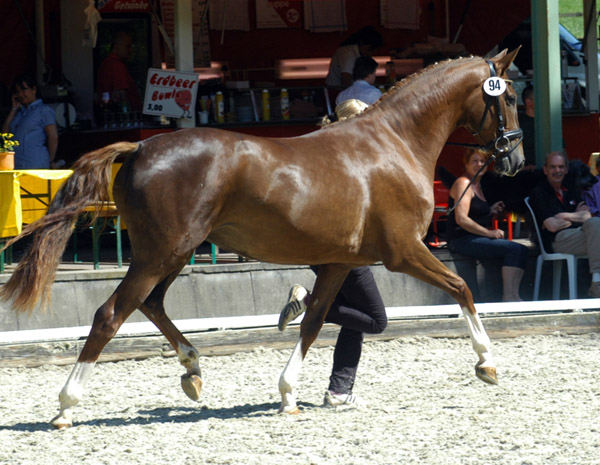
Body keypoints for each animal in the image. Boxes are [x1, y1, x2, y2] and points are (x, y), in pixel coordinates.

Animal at [1, 49, 520, 426]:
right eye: (511, 95)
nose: (513, 158)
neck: (393, 143)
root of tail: (141, 145)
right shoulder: (404, 252)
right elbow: (462, 288)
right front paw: (487, 364)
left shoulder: (340, 263)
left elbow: (315, 320)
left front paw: (289, 394)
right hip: (159, 254)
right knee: (111, 314)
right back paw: (67, 406)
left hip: (172, 254)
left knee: (151, 304)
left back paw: (192, 368)